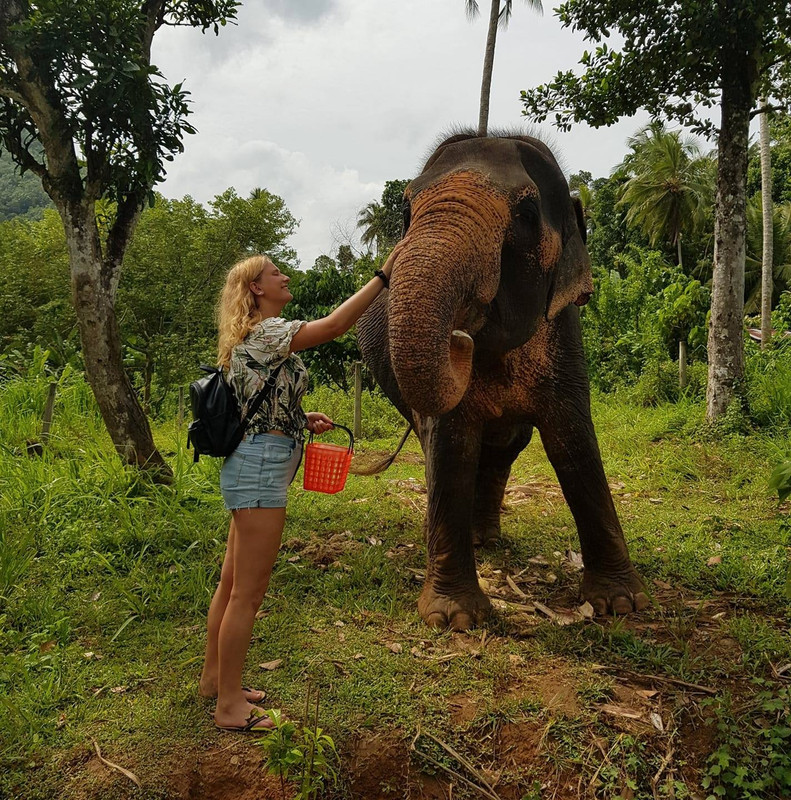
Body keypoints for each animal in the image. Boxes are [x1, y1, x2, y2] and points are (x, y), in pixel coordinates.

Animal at [358, 131, 648, 632]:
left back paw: (487, 539)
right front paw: (454, 618)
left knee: (503, 450)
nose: (458, 335)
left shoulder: (565, 336)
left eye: (527, 214)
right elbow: (450, 443)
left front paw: (621, 604)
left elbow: (573, 441)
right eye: (406, 212)